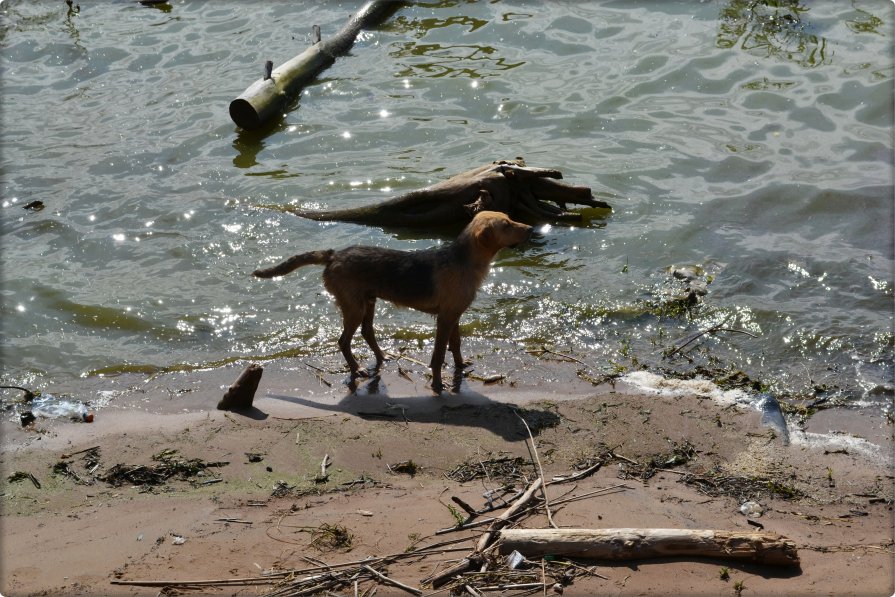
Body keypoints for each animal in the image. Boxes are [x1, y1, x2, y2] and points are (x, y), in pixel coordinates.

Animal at [252, 210, 532, 392]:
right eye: (506, 225)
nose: (530, 229)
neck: (464, 260)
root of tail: (333, 255)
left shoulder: (454, 315)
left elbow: (456, 345)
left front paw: (461, 367)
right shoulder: (444, 318)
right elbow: (438, 355)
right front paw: (438, 384)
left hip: (368, 302)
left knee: (367, 332)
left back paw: (381, 357)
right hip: (354, 306)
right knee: (343, 341)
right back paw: (356, 369)